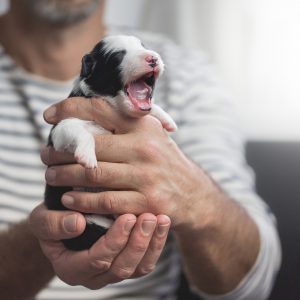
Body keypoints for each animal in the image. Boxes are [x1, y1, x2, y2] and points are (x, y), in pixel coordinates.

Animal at [45, 34, 177, 251]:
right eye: (117, 57)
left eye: (143, 46)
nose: (152, 58)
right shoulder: (61, 128)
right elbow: (80, 132)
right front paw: (87, 157)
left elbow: (154, 107)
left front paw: (167, 120)